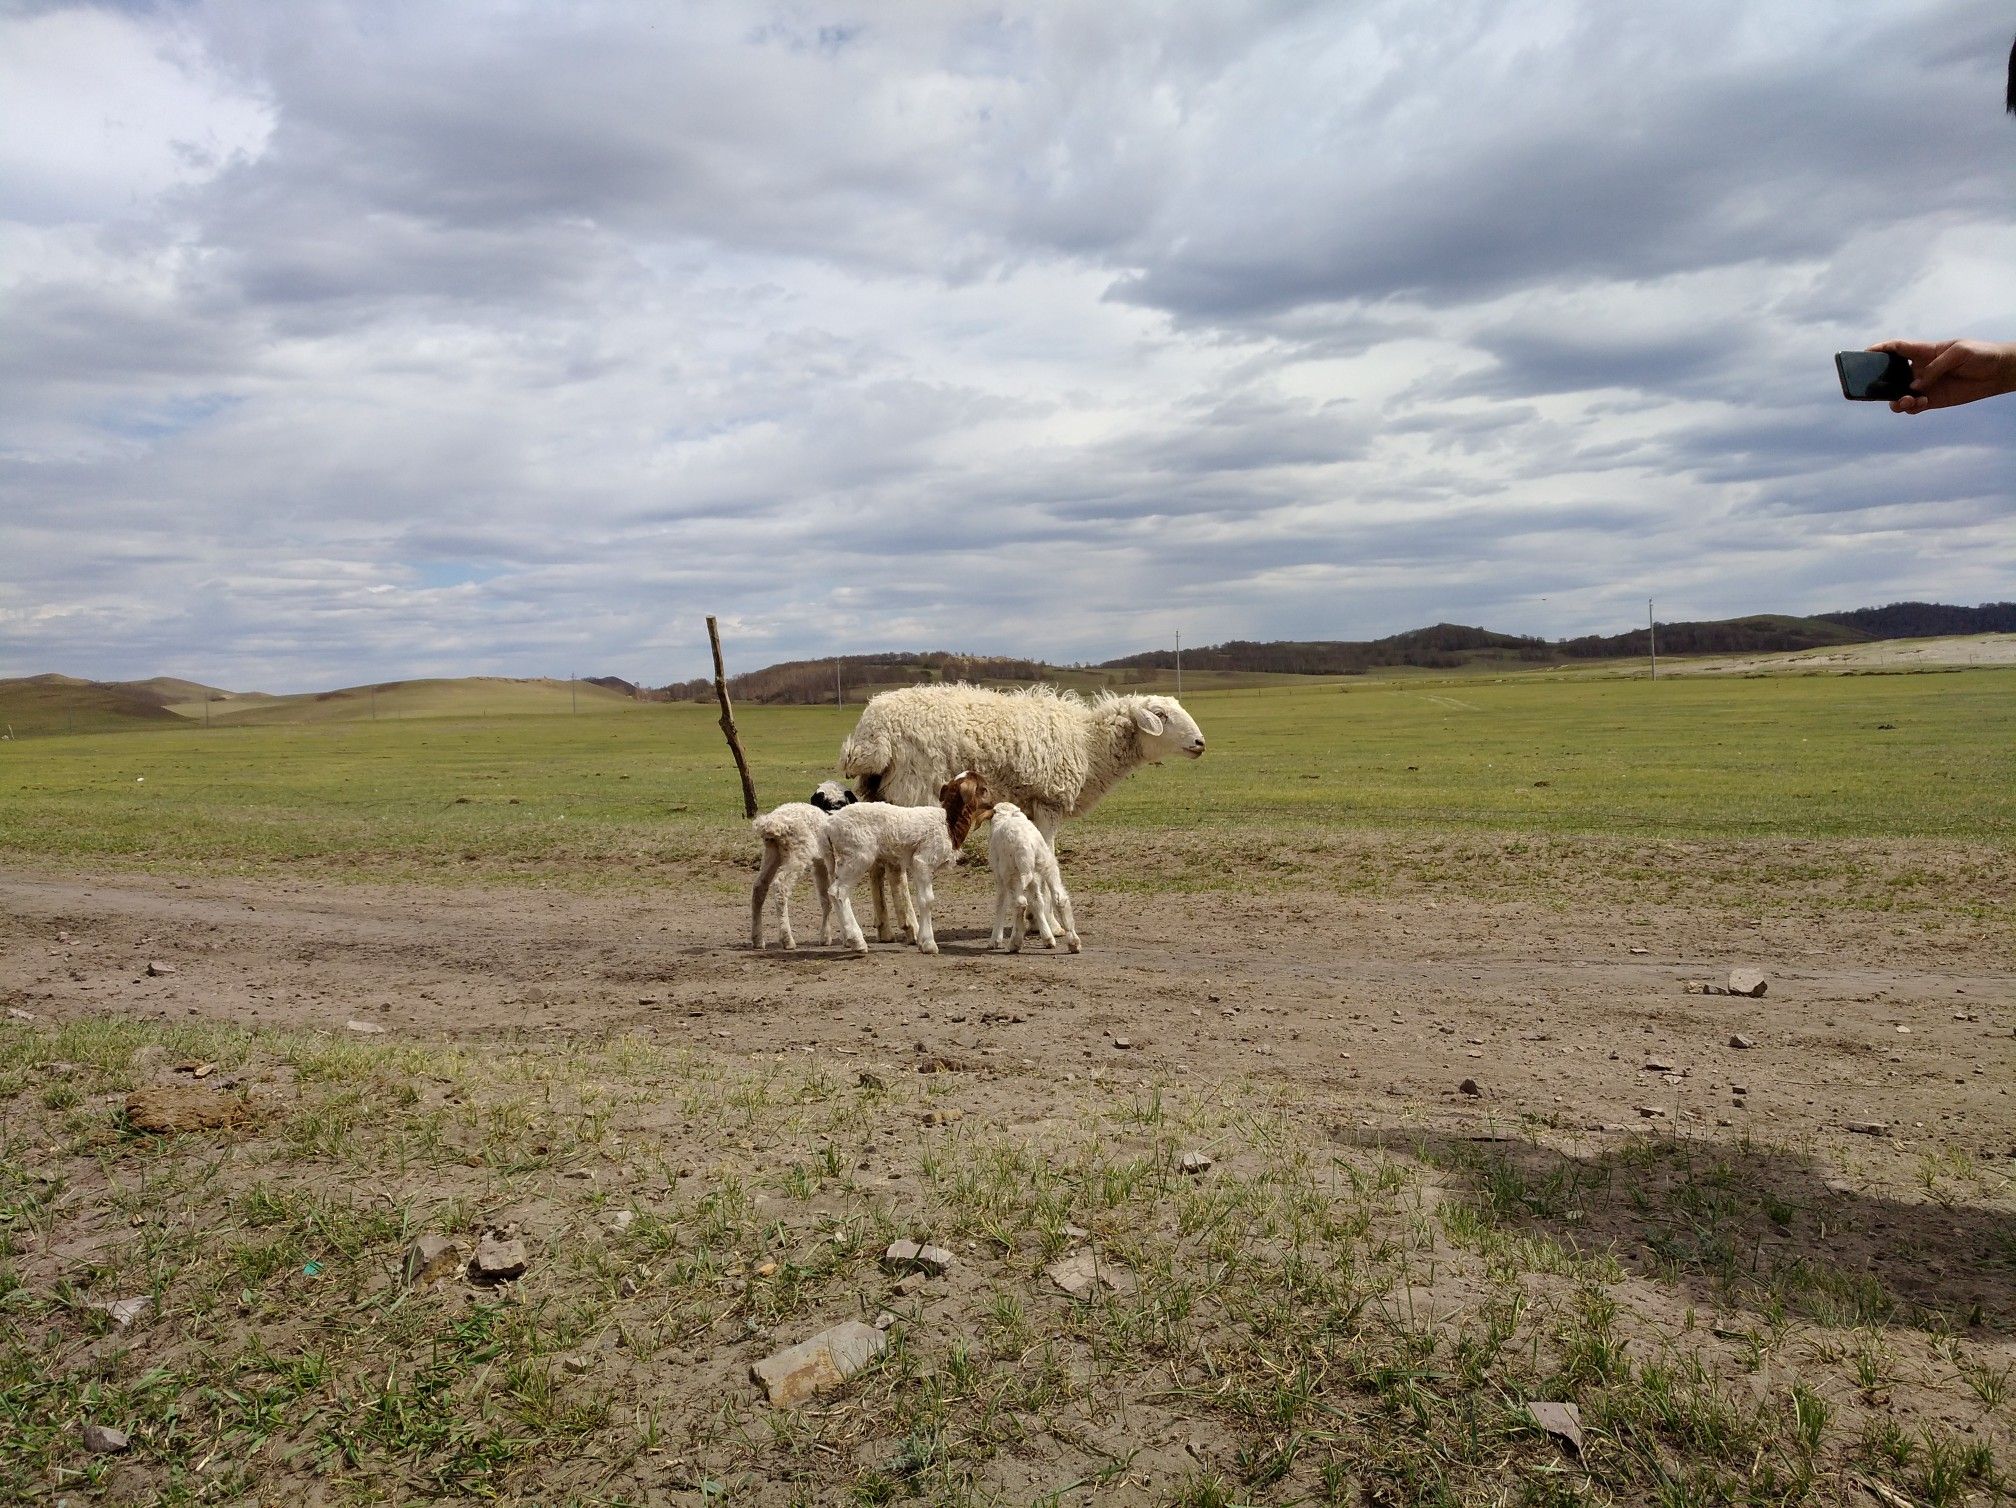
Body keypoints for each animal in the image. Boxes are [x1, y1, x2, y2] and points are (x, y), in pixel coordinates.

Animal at [749, 782, 858, 947]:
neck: (830, 810)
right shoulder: (833, 861)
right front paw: (846, 937)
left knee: (759, 887)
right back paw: (787, 939)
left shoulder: (820, 862)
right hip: (798, 854)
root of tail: (772, 823)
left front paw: (825, 937)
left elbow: (825, 898)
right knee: (781, 887)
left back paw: (758, 939)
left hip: (772, 853)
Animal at [818, 778, 991, 955]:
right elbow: (927, 900)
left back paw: (848, 939)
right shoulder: (923, 860)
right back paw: (857, 941)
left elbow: (920, 898)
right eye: (984, 789)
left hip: (839, 860)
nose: (993, 804)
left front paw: (921, 940)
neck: (948, 822)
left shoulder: (916, 865)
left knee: (833, 893)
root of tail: (829, 824)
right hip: (857, 856)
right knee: (838, 892)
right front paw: (929, 944)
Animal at [983, 802, 1080, 955]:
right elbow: (1037, 902)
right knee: (1059, 898)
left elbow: (1000, 905)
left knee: (1020, 903)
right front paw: (1047, 938)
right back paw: (1073, 942)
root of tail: (1025, 844)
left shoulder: (999, 877)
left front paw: (994, 941)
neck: (1007, 815)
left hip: (1010, 873)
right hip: (1047, 863)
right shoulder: (1033, 878)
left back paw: (1015, 943)